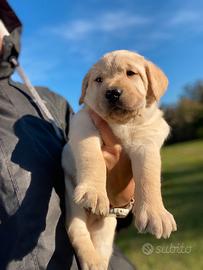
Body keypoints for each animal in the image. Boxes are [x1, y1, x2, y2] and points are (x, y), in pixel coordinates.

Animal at [62, 49, 177, 268]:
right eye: (98, 80)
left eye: (130, 73)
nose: (112, 92)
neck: (122, 123)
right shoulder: (84, 123)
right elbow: (92, 157)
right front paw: (94, 192)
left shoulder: (148, 141)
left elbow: (149, 175)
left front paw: (155, 213)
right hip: (73, 204)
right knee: (77, 231)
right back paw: (91, 261)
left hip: (107, 226)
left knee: (102, 247)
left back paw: (99, 262)